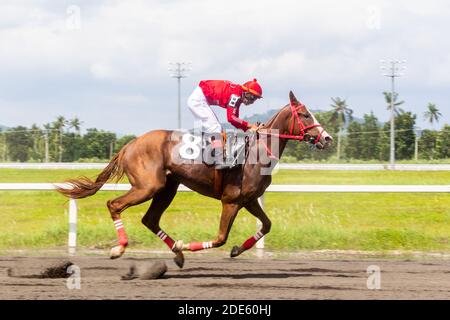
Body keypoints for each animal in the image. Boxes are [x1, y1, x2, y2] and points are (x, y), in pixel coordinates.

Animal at [57, 92, 330, 268]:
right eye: (305, 115)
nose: (326, 138)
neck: (256, 152)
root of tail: (130, 144)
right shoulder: (231, 201)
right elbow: (220, 238)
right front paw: (186, 246)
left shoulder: (250, 200)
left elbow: (267, 225)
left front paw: (236, 249)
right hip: (148, 186)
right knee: (114, 205)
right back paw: (120, 248)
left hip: (167, 188)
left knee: (149, 219)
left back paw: (176, 255)